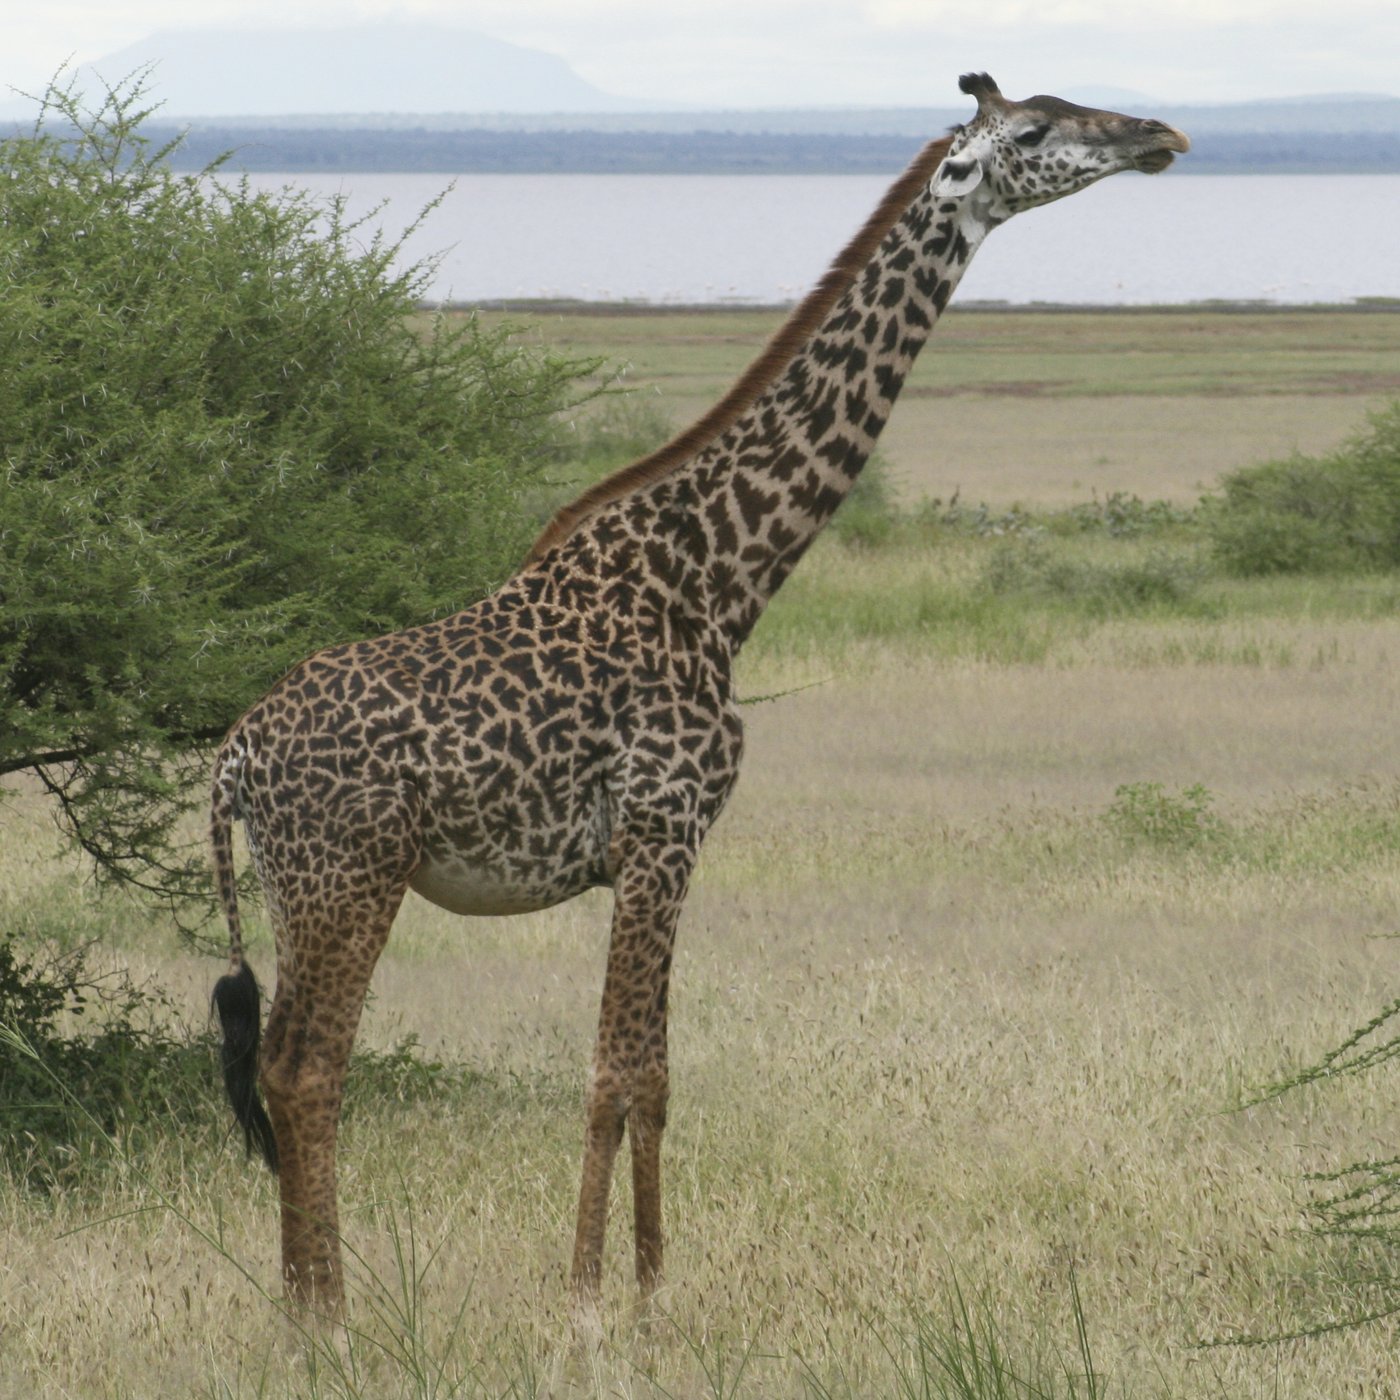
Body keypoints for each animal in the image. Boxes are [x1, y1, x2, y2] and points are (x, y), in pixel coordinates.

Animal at [211, 73, 1189, 1315]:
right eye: (1031, 130)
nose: (1160, 134)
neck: (718, 579)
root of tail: (235, 752)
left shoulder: (670, 846)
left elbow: (657, 1073)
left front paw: (648, 1288)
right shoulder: (660, 826)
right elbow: (614, 1069)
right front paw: (593, 1304)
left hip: (301, 886)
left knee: (286, 1063)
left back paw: (303, 1311)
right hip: (350, 876)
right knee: (306, 1066)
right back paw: (329, 1319)